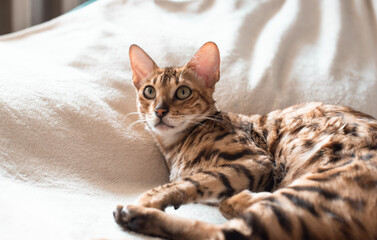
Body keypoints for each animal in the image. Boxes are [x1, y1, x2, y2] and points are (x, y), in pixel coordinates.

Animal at [113, 42, 376, 239]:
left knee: (223, 234)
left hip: (315, 187)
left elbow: (193, 183)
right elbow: (219, 196)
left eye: (183, 92)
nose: (159, 110)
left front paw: (148, 198)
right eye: (149, 91)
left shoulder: (255, 161)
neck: (176, 148)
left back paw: (132, 213)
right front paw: (243, 198)